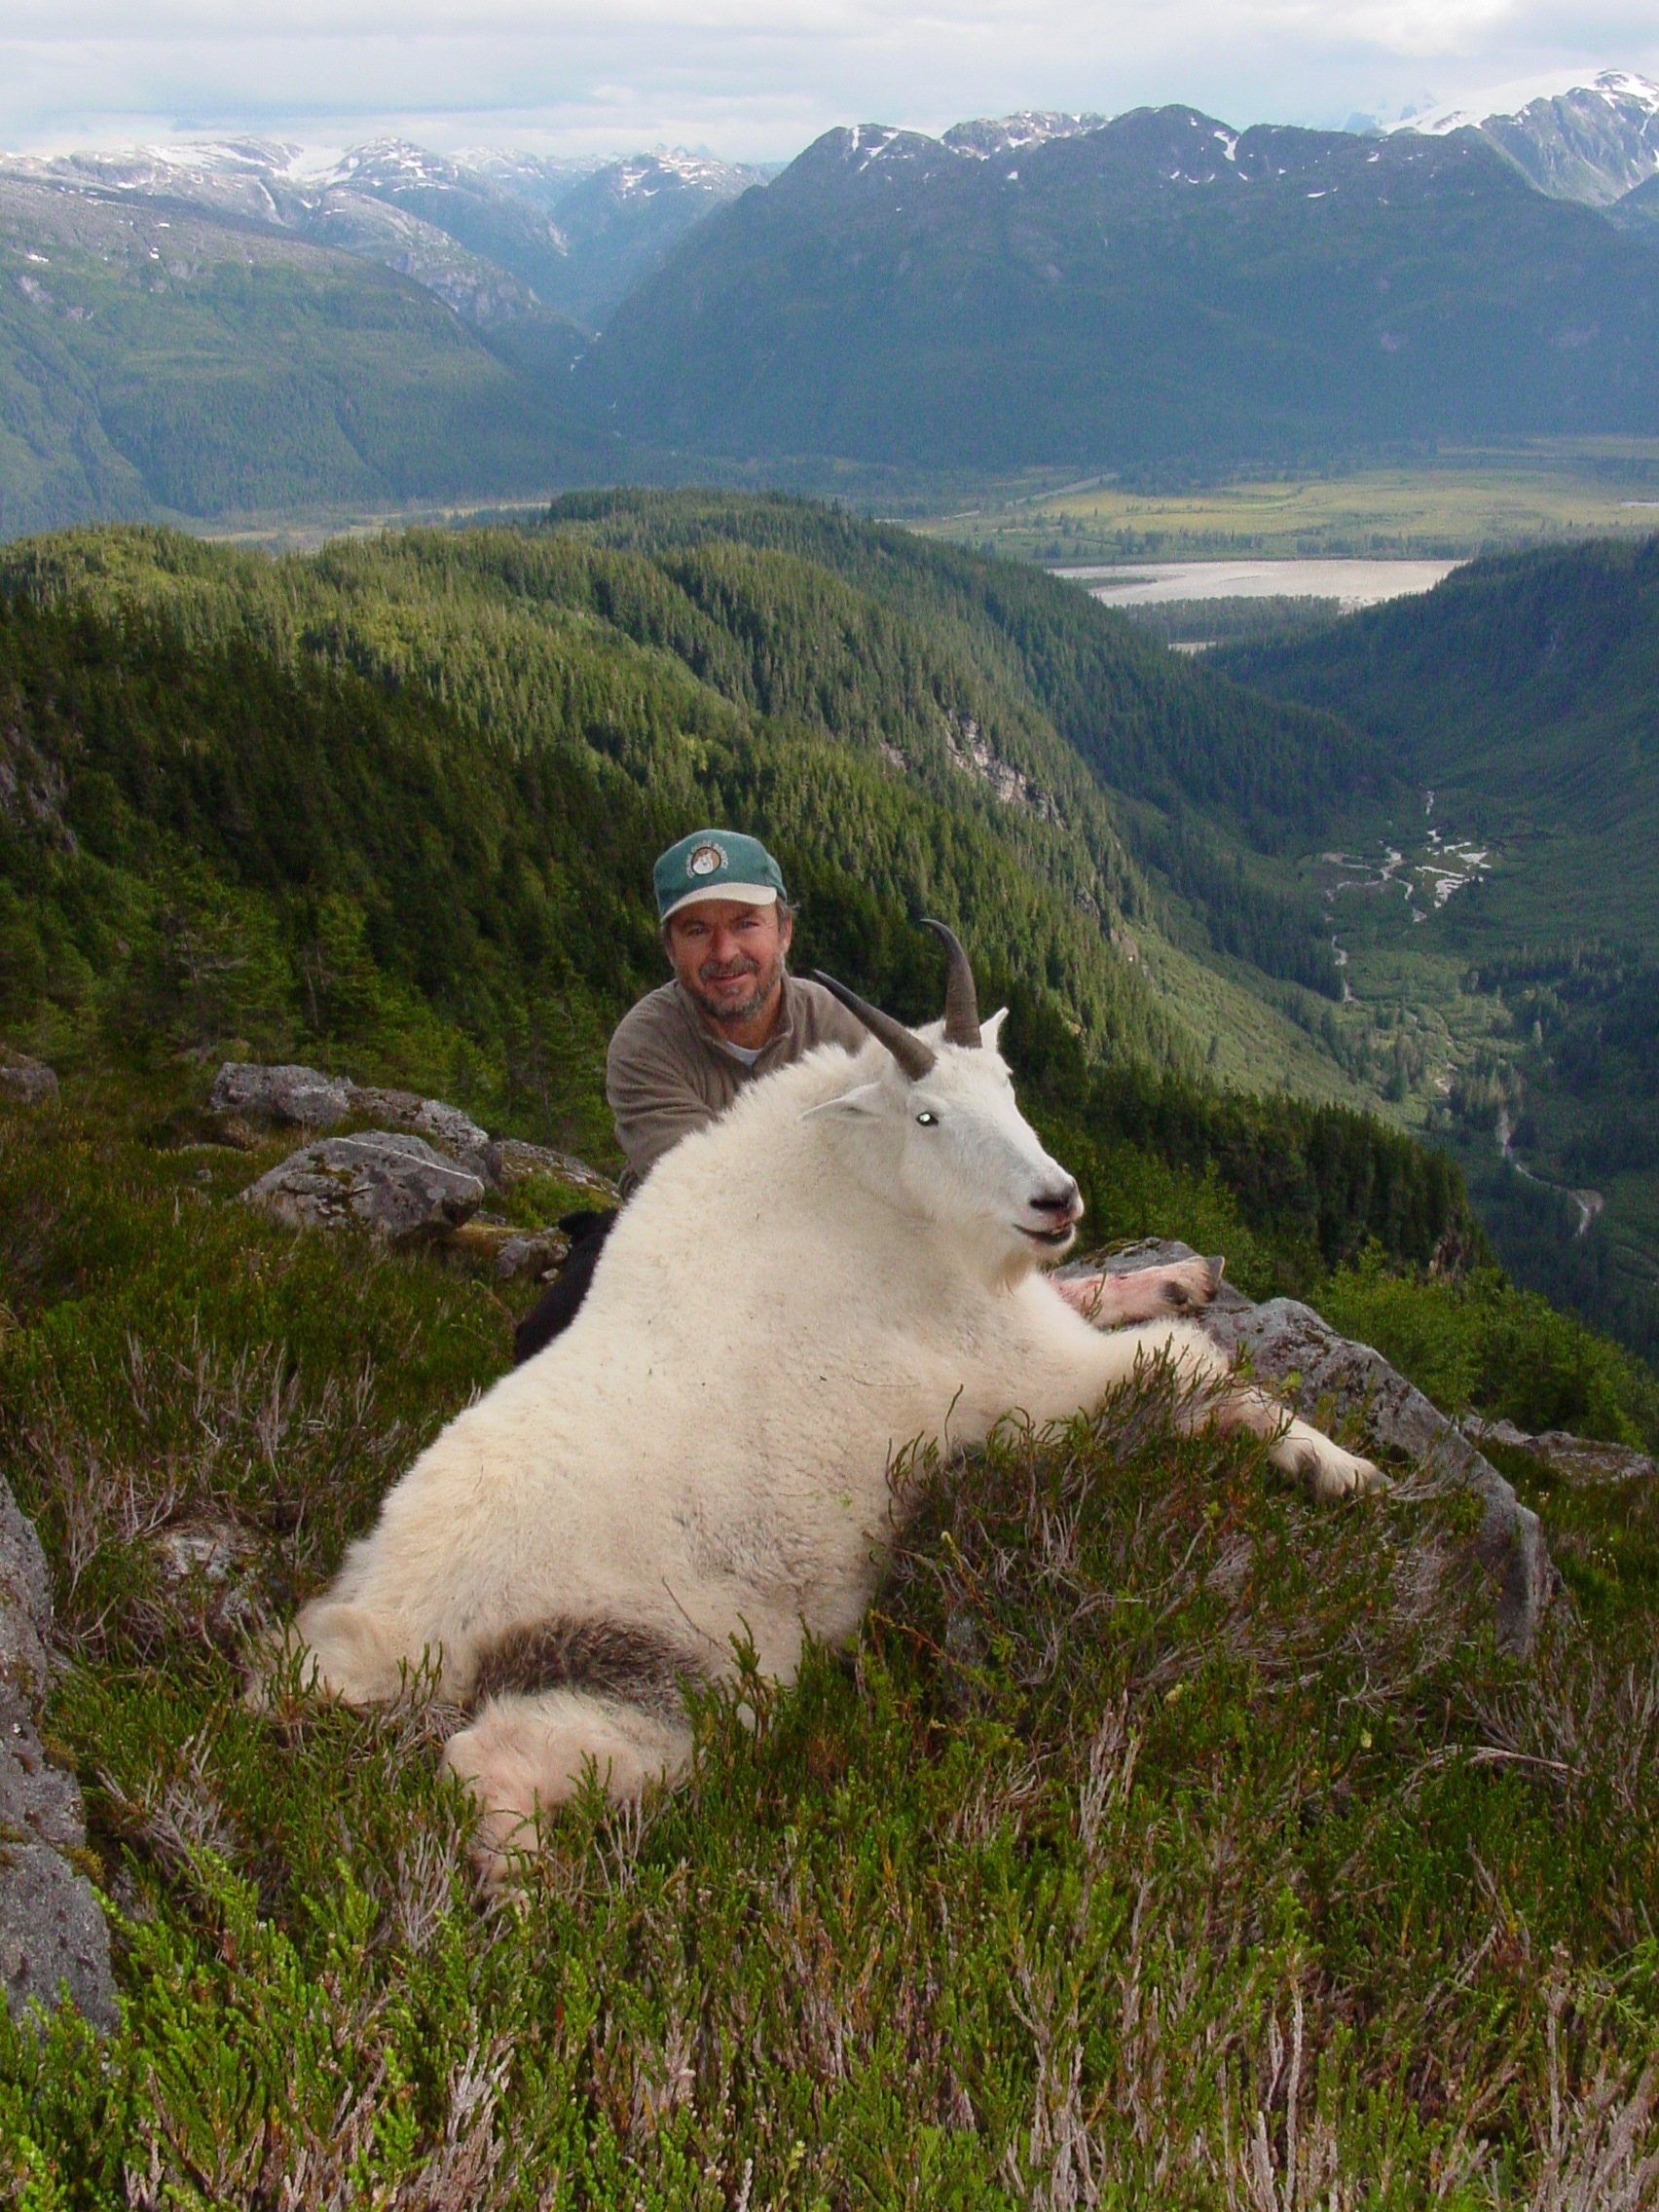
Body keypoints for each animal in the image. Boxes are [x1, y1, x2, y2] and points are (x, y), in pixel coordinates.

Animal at [273, 920, 1380, 1866]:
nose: (1055, 1201)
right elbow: (1198, 1366)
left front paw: (1189, 1273)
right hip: (664, 1672)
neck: (868, 1202)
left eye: (1008, 1081)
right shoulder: (1025, 1389)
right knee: (492, 1769)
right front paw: (1343, 1468)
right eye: (928, 1112)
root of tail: (380, 1633)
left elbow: (1119, 1299)